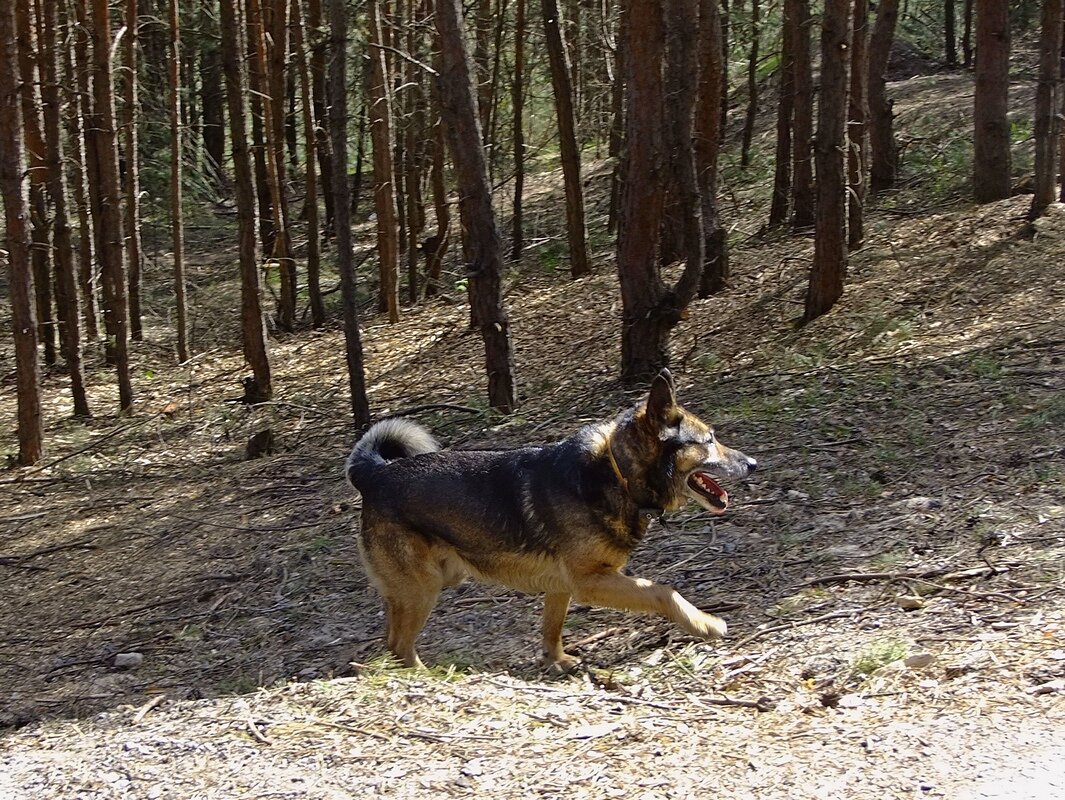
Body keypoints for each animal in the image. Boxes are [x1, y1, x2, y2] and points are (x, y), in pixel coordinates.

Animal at [345, 368, 754, 668]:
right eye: (710, 440)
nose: (752, 463)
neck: (617, 473)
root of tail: (374, 474)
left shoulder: (562, 585)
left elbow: (552, 627)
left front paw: (557, 661)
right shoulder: (591, 581)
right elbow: (663, 591)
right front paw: (705, 623)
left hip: (422, 586)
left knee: (390, 639)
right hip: (423, 589)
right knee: (400, 645)